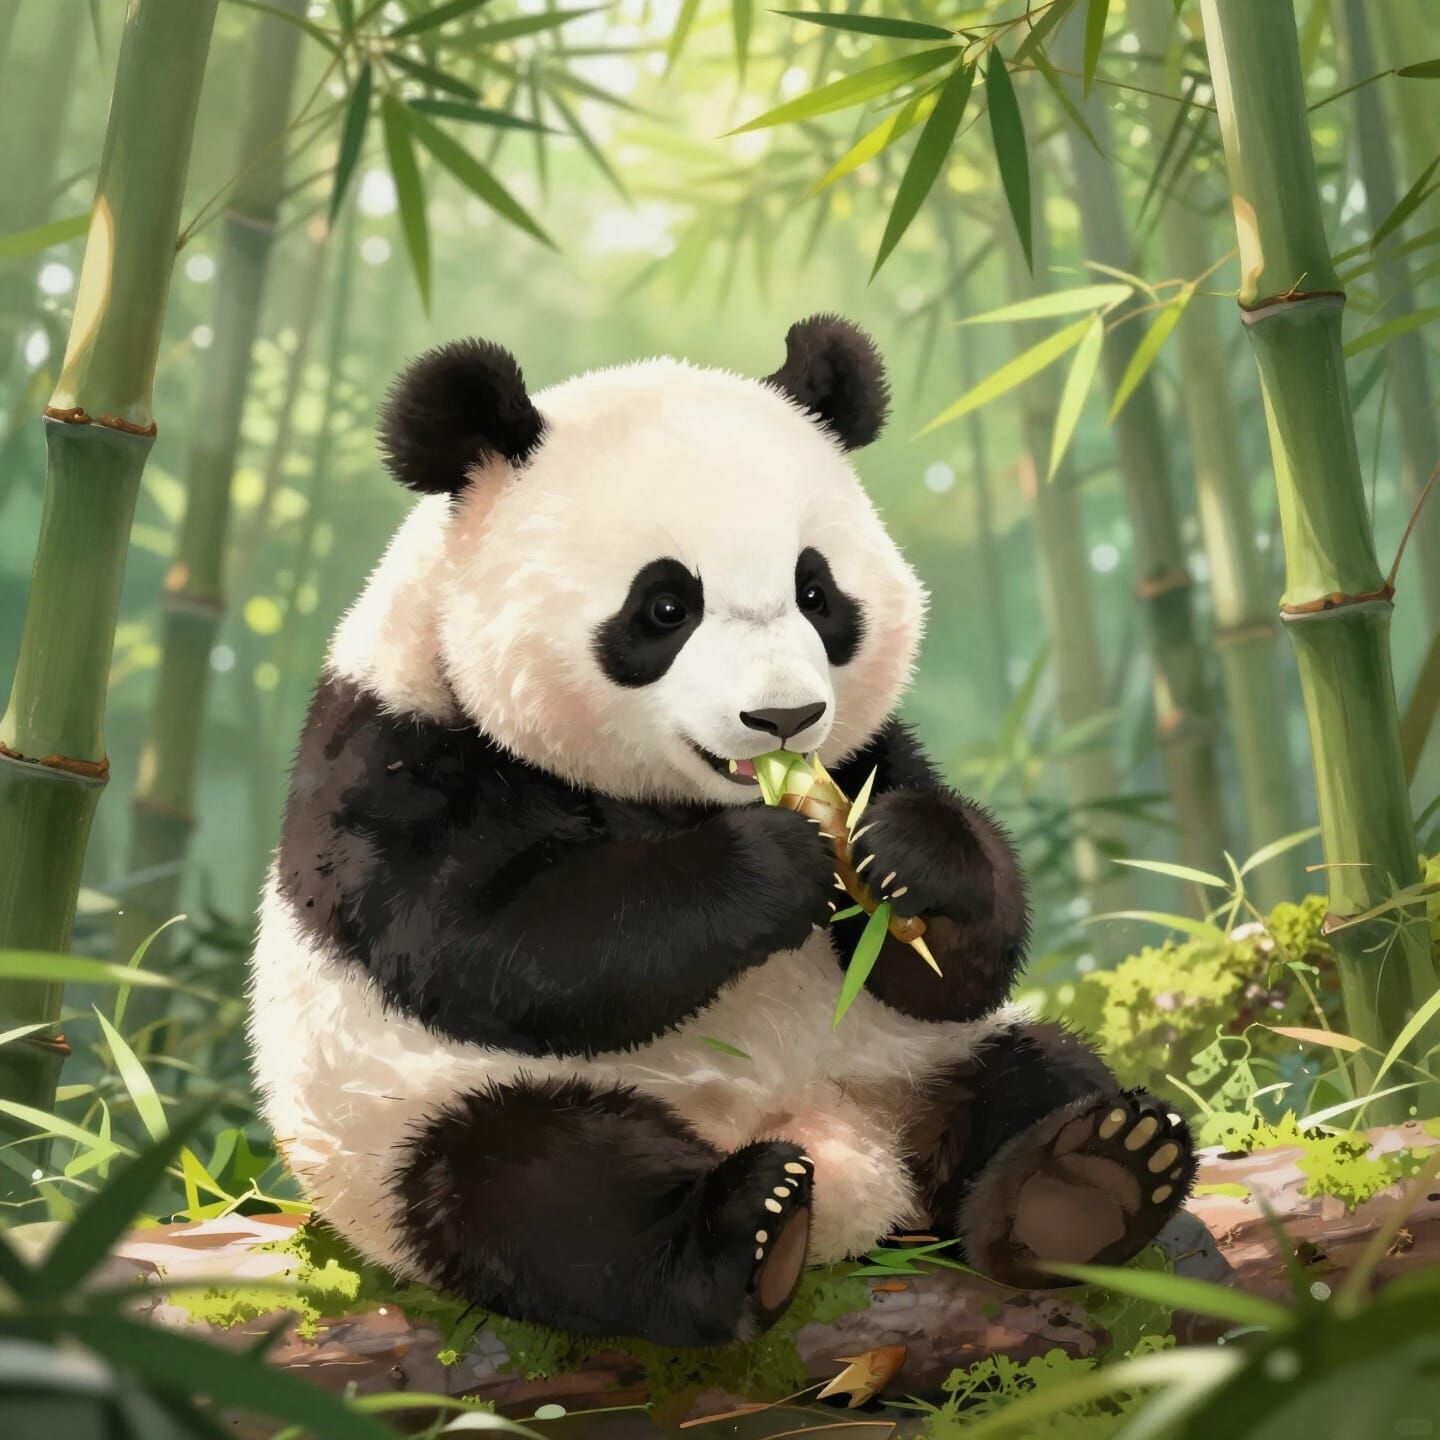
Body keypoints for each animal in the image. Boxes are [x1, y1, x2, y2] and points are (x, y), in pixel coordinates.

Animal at [250, 315, 1196, 1348]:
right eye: (666, 606)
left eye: (817, 594)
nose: (784, 718)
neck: (690, 802)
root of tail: (845, 1146)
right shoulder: (395, 756)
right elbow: (499, 943)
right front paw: (767, 870)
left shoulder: (862, 758)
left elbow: (943, 967)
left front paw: (909, 859)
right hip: (416, 1118)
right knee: (538, 1189)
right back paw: (749, 1230)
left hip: (909, 1059)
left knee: (1032, 1073)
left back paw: (1084, 1183)